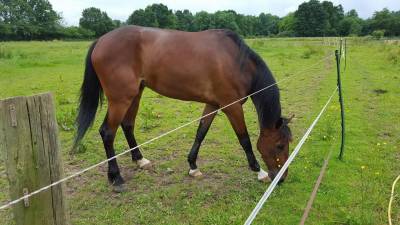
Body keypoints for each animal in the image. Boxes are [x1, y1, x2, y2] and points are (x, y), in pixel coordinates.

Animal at [75, 25, 292, 192]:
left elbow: (201, 132)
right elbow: (244, 140)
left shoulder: (213, 104)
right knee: (107, 132)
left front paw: (193, 166)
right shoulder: (232, 107)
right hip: (120, 99)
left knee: (127, 125)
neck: (236, 61)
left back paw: (140, 160)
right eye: (280, 145)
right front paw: (259, 172)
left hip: (135, 94)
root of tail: (101, 40)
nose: (281, 178)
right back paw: (116, 177)